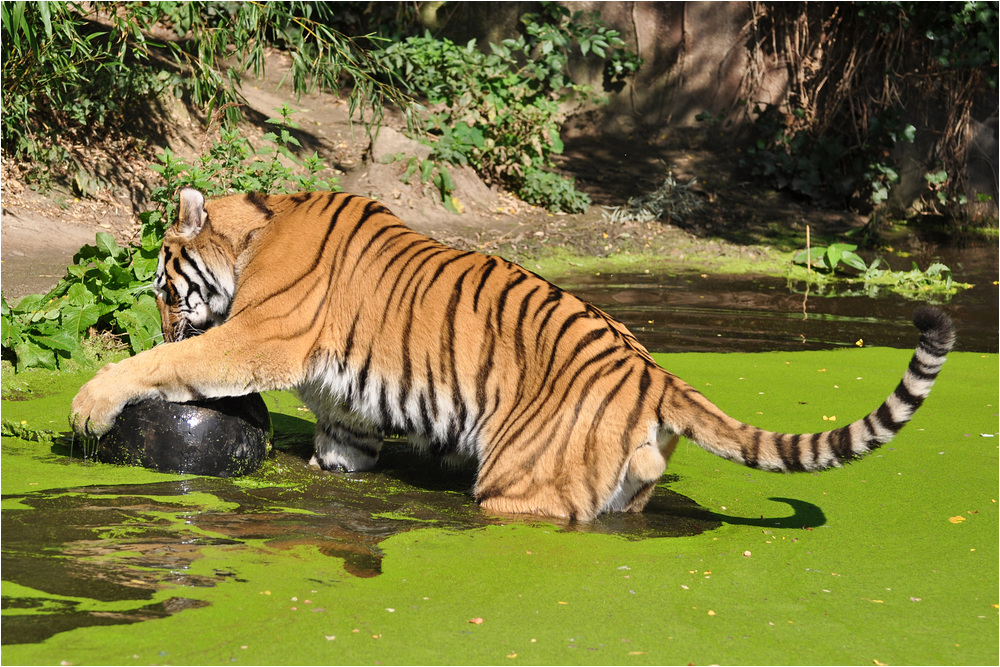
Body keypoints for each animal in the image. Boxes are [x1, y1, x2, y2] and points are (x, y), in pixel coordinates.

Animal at [66, 188, 956, 520]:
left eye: (161, 286)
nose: (159, 319)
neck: (255, 232)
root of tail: (654, 371)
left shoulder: (255, 340)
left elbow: (163, 369)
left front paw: (89, 402)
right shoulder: (349, 412)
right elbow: (340, 452)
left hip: (519, 484)